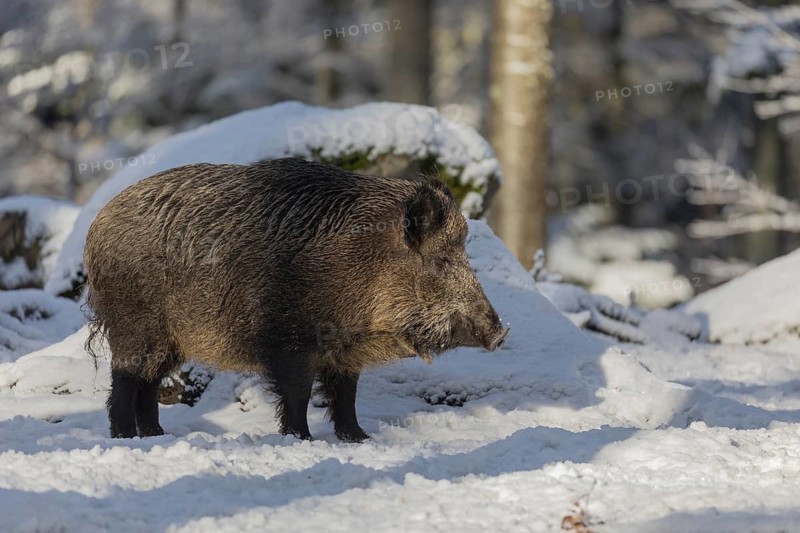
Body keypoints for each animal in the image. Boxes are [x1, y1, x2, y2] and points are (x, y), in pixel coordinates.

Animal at [84, 157, 509, 442]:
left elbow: (346, 393)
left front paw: (359, 438)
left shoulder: (345, 350)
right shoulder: (289, 339)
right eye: (440, 261)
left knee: (149, 382)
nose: (501, 333)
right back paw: (126, 438)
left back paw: (156, 435)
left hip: (171, 340)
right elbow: (299, 392)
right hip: (136, 323)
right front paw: (300, 439)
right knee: (125, 378)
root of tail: (98, 226)